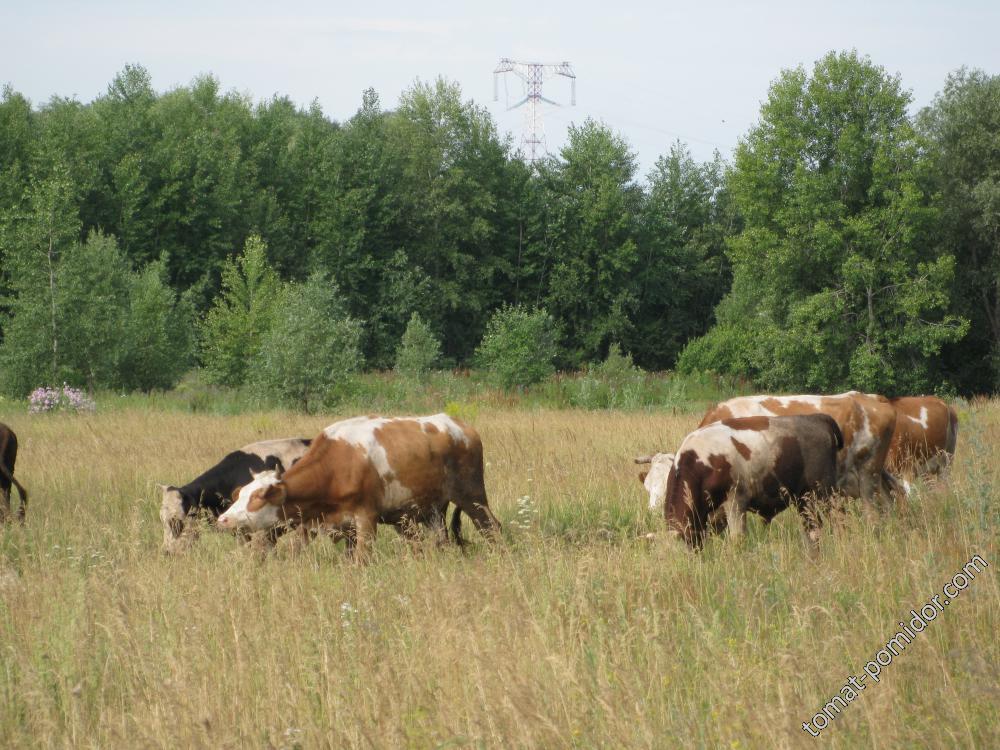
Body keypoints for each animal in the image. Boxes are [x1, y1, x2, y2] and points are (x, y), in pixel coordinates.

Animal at [218, 414, 500, 560]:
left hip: (472, 496)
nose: (223, 519)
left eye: (260, 496)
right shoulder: (315, 523)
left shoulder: (366, 518)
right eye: (240, 494)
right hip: (432, 511)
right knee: (440, 539)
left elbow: (361, 559)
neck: (335, 466)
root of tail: (461, 426)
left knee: (491, 528)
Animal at [664, 414, 844, 548]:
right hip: (804, 500)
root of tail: (817, 418)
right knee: (813, 528)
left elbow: (737, 539)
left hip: (825, 493)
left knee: (838, 519)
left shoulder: (735, 502)